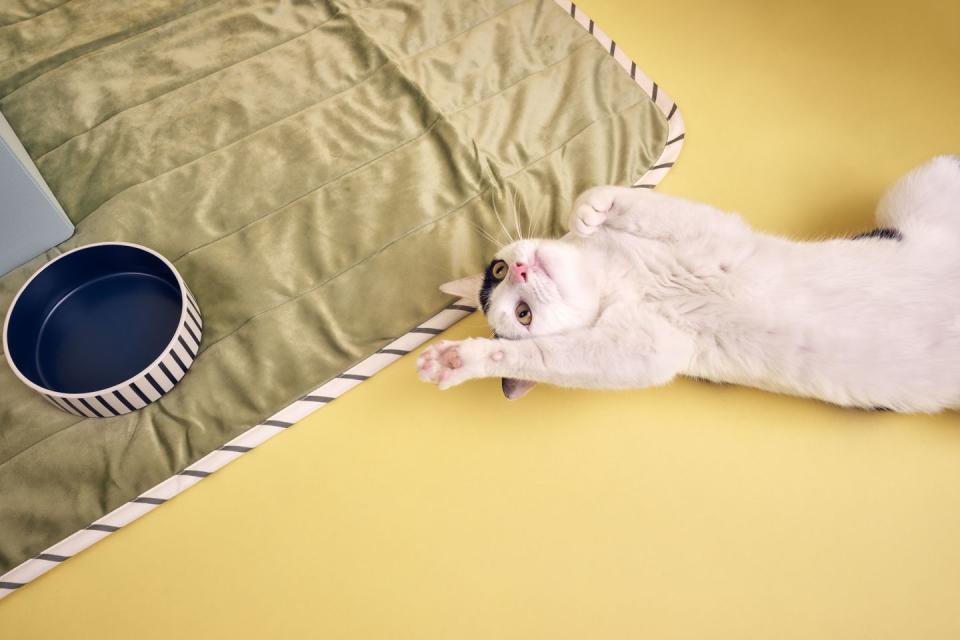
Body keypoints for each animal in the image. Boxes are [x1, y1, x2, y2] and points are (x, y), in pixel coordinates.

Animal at [418, 158, 960, 412]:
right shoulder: (652, 347)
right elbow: (549, 357)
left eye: (498, 272)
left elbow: (609, 200)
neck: (619, 278)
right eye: (522, 314)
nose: (522, 271)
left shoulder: (704, 234)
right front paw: (460, 359)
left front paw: (588, 212)